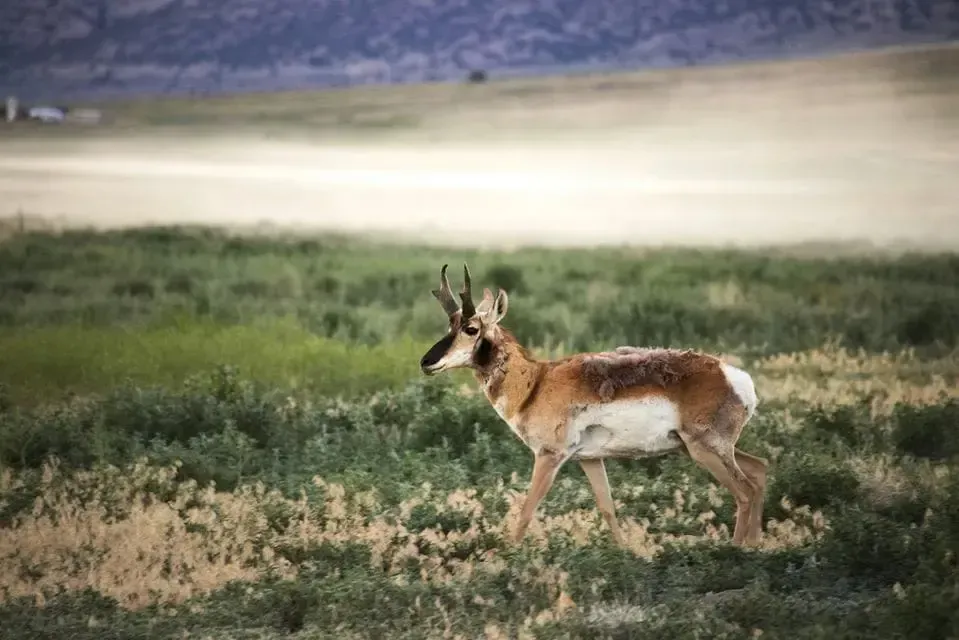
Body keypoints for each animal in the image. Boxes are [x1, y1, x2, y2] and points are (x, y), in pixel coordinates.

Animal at [419, 264, 768, 547]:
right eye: (450, 324)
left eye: (471, 328)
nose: (426, 362)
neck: (536, 382)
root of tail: (733, 376)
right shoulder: (590, 459)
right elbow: (607, 507)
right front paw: (627, 555)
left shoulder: (549, 456)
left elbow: (527, 509)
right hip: (706, 449)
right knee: (760, 470)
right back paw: (755, 546)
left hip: (704, 450)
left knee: (745, 490)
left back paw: (736, 551)